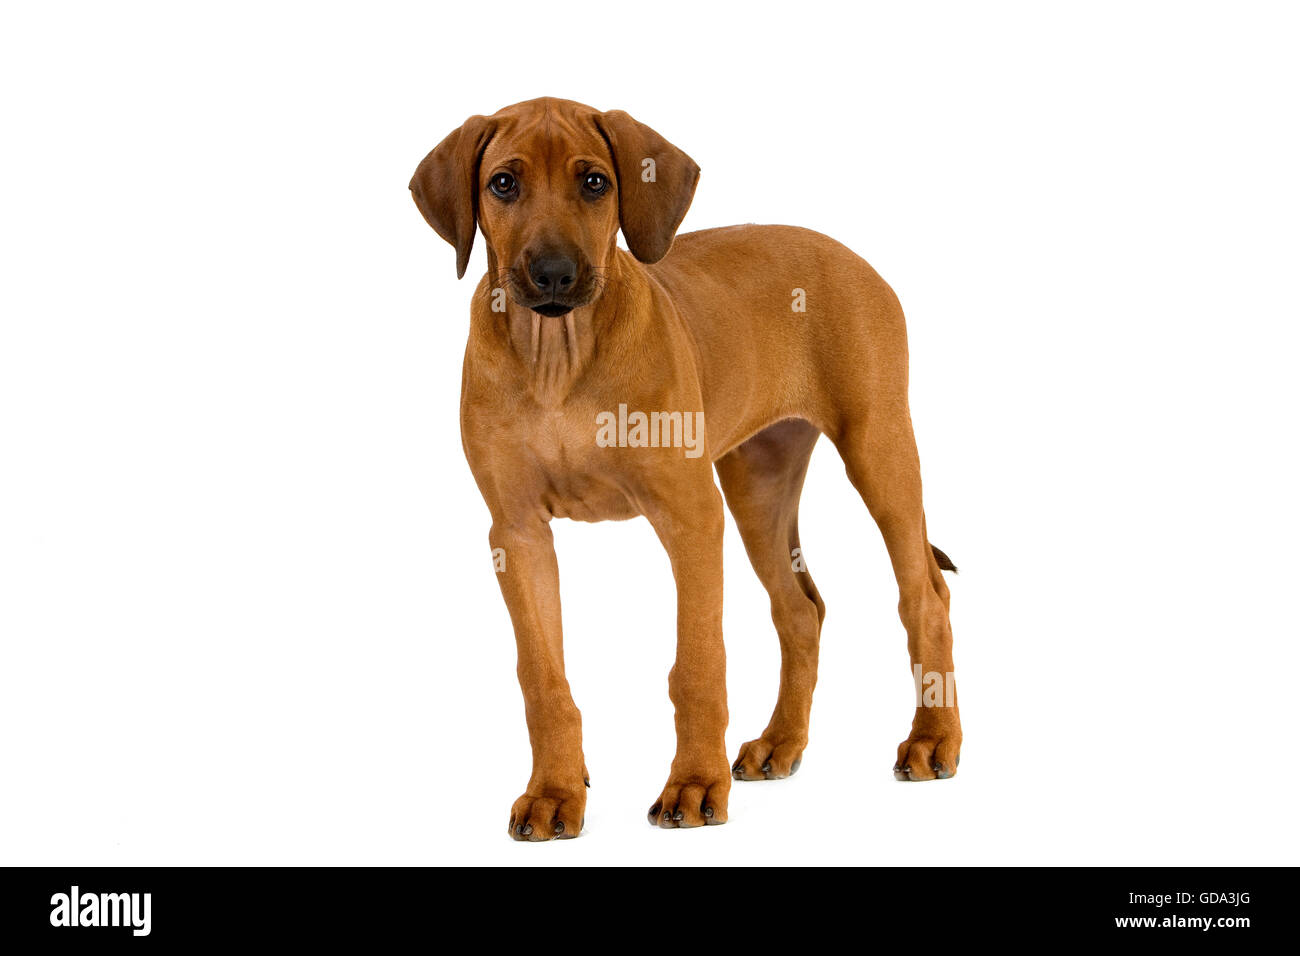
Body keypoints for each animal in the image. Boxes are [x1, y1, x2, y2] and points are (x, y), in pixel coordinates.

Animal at [410, 98, 961, 842]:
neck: (558, 357)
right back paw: (781, 743)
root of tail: (852, 255)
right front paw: (555, 792)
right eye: (503, 184)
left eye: (594, 182)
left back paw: (933, 738)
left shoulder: (690, 515)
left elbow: (697, 664)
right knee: (800, 609)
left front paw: (696, 785)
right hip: (758, 484)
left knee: (924, 594)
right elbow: (541, 678)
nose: (554, 274)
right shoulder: (517, 532)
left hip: (878, 449)